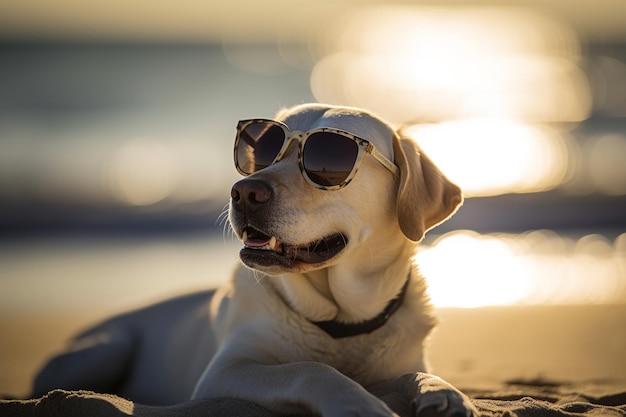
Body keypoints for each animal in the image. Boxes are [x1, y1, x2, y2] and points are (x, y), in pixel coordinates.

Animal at [33, 102, 472, 414]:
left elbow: (416, 372)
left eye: (329, 160)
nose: (244, 192)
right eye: (262, 150)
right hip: (103, 349)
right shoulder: (224, 373)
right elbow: (308, 369)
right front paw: (358, 403)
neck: (342, 323)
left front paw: (444, 392)